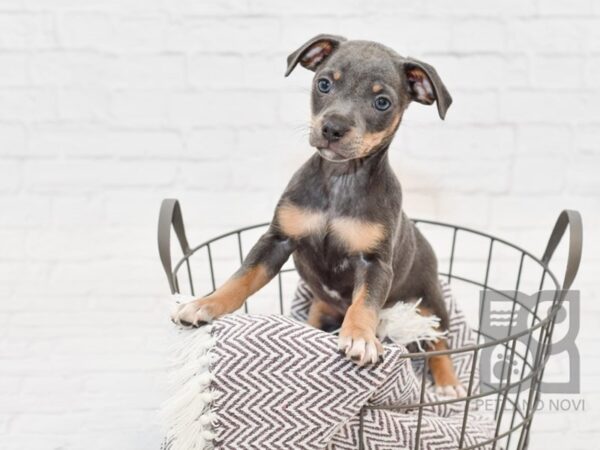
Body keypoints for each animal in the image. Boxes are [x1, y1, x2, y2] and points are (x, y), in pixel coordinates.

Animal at [171, 35, 466, 400]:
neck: (341, 179)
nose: (333, 129)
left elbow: (364, 304)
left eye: (382, 102)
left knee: (439, 341)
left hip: (429, 304)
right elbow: (241, 278)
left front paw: (359, 337)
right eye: (324, 83)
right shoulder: (276, 240)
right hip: (321, 305)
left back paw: (449, 382)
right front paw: (205, 304)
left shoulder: (374, 264)